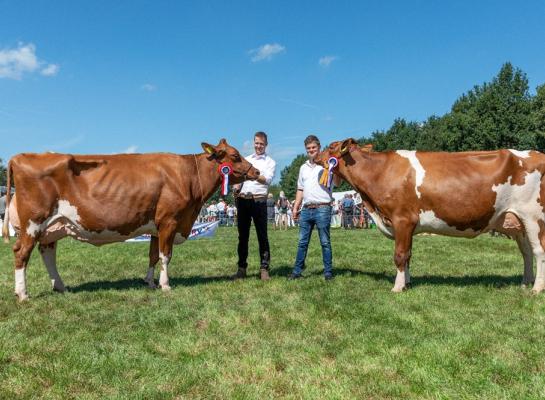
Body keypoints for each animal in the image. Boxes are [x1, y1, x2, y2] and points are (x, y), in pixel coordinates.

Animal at [3, 140, 260, 300]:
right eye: (235, 155)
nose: (257, 172)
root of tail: (19, 157)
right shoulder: (169, 221)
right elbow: (166, 256)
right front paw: (165, 285)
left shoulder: (156, 226)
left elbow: (153, 255)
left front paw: (150, 282)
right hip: (33, 222)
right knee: (21, 253)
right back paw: (23, 294)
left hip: (53, 226)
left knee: (47, 254)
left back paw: (60, 286)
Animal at [316, 139, 544, 292]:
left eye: (331, 147)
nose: (314, 156)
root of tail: (537, 154)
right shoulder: (407, 226)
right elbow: (408, 255)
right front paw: (407, 283)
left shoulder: (402, 219)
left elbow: (400, 255)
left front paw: (397, 288)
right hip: (515, 222)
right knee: (526, 252)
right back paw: (525, 282)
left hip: (533, 217)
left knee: (539, 251)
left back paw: (536, 288)